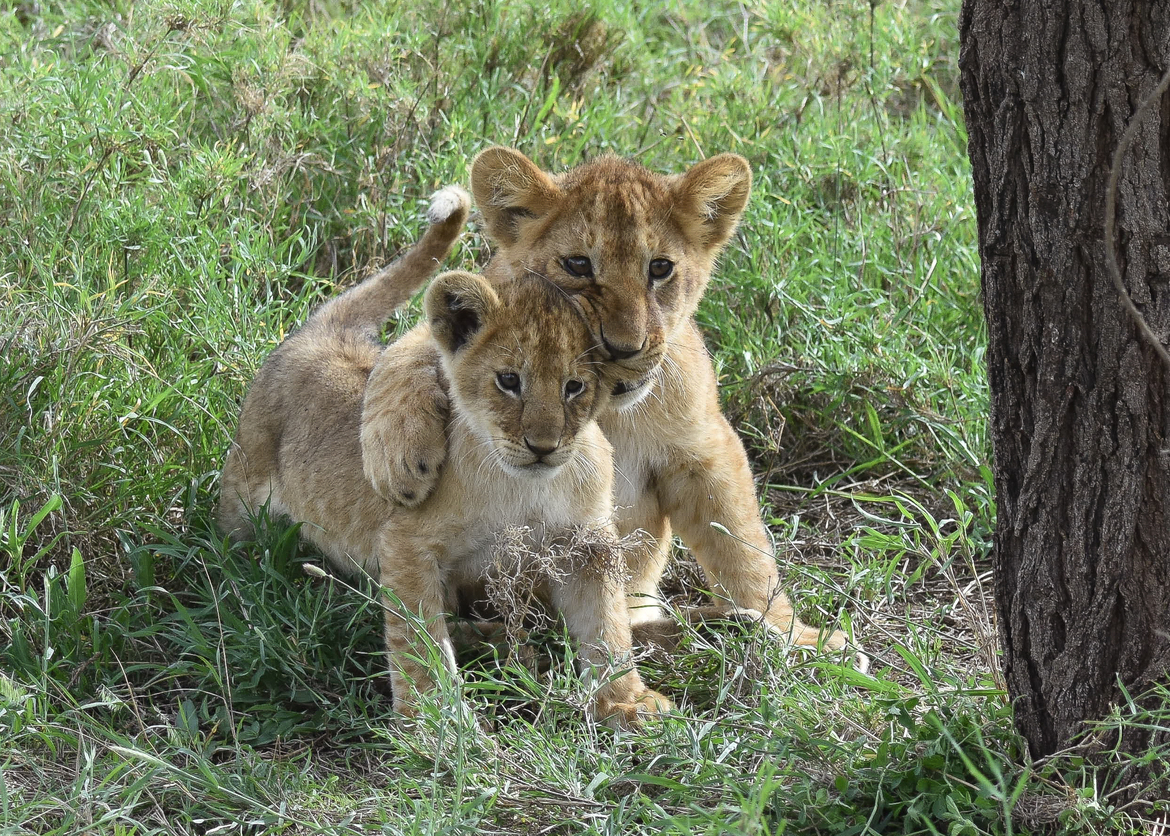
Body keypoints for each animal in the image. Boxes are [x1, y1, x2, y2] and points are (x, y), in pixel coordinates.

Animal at [218, 187, 671, 727]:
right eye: (509, 380)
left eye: (574, 387)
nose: (542, 446)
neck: (525, 488)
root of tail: (326, 328)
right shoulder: (407, 543)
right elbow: (419, 642)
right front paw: (433, 725)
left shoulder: (587, 544)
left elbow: (607, 625)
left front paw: (626, 703)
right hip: (243, 494)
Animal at [360, 149, 852, 655]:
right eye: (578, 264)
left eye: (660, 268)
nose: (623, 349)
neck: (609, 415)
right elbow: (405, 354)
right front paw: (399, 460)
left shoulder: (704, 449)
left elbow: (740, 545)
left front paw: (800, 636)